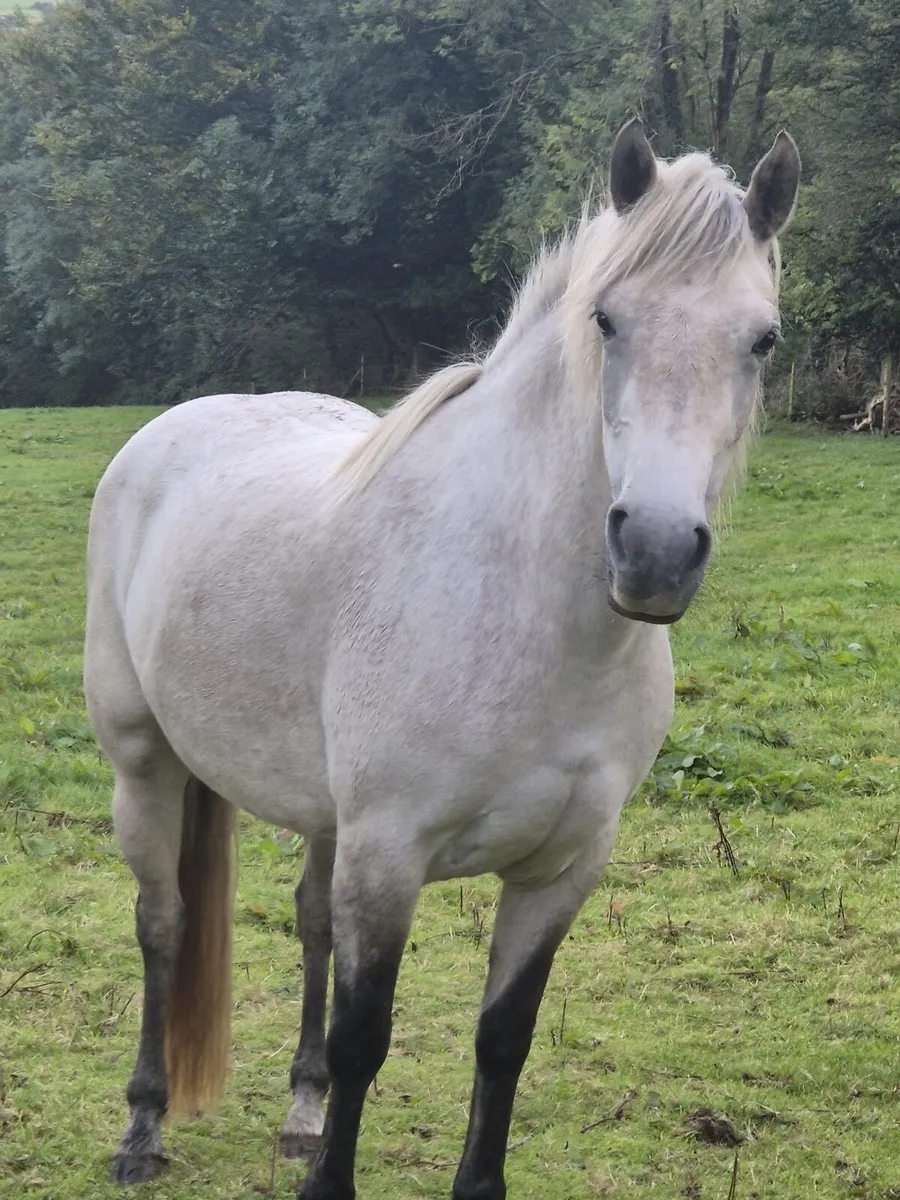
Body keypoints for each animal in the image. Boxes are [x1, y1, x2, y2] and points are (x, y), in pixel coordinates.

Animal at [83, 119, 800, 1199]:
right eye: (607, 321)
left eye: (762, 339)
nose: (655, 551)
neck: (523, 615)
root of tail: (173, 425)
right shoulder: (389, 858)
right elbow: (364, 1039)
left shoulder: (560, 870)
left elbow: (503, 1040)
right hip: (144, 762)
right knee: (161, 923)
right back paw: (143, 1128)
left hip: (320, 814)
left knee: (308, 920)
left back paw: (299, 1115)